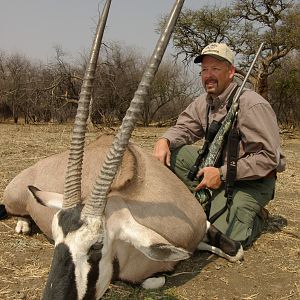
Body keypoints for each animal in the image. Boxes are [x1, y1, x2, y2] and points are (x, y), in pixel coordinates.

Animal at [1, 1, 244, 298]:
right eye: (56, 238)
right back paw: (23, 224)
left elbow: (235, 250)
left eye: (96, 246)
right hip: (14, 198)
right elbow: (153, 280)